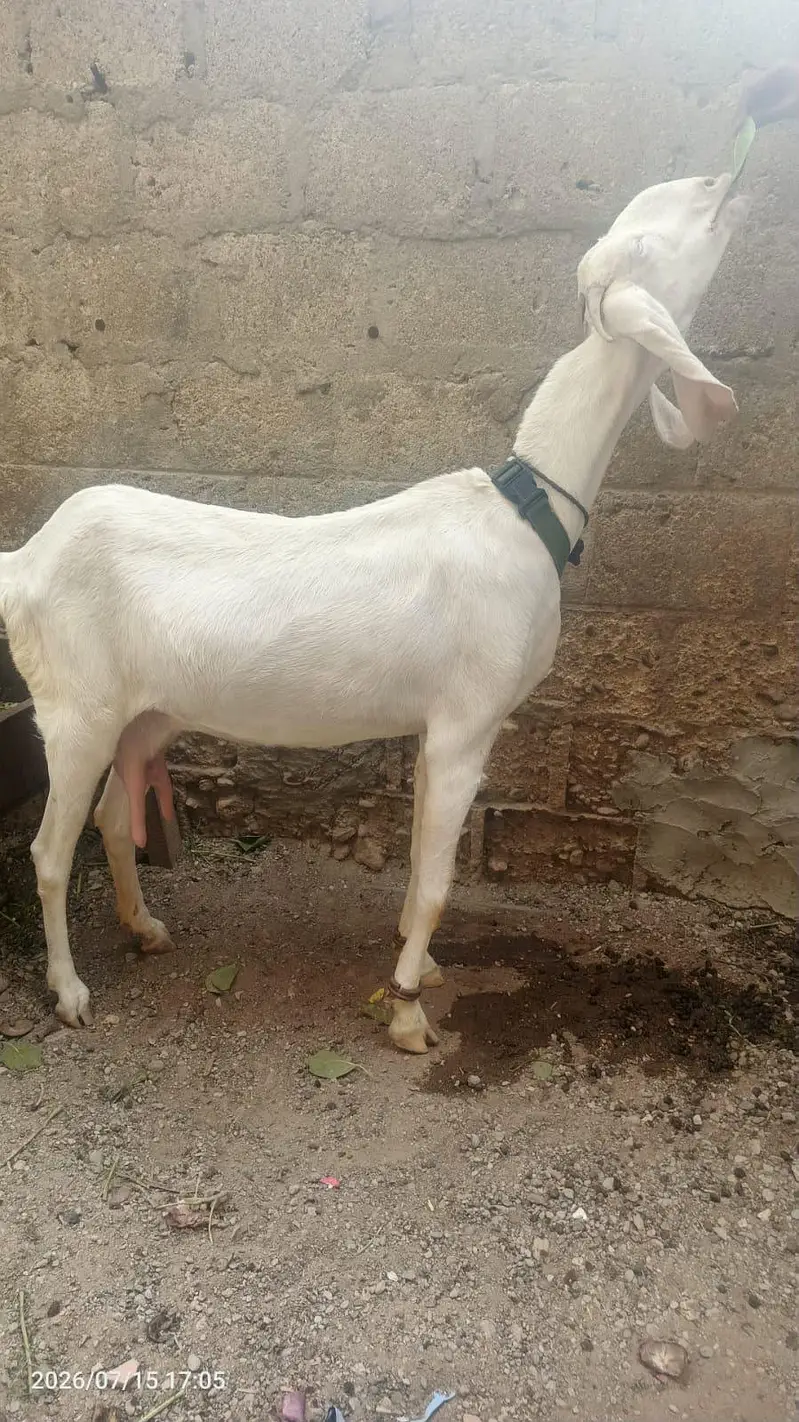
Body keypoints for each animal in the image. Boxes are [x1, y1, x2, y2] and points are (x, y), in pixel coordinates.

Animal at [0, 171, 749, 1052]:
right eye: (648, 243)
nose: (719, 182)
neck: (524, 509)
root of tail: (26, 559)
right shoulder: (467, 721)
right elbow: (435, 882)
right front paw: (408, 1014)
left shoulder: (435, 725)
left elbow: (422, 857)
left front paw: (420, 969)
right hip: (74, 709)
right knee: (49, 853)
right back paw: (70, 991)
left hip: (145, 710)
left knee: (115, 813)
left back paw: (144, 928)